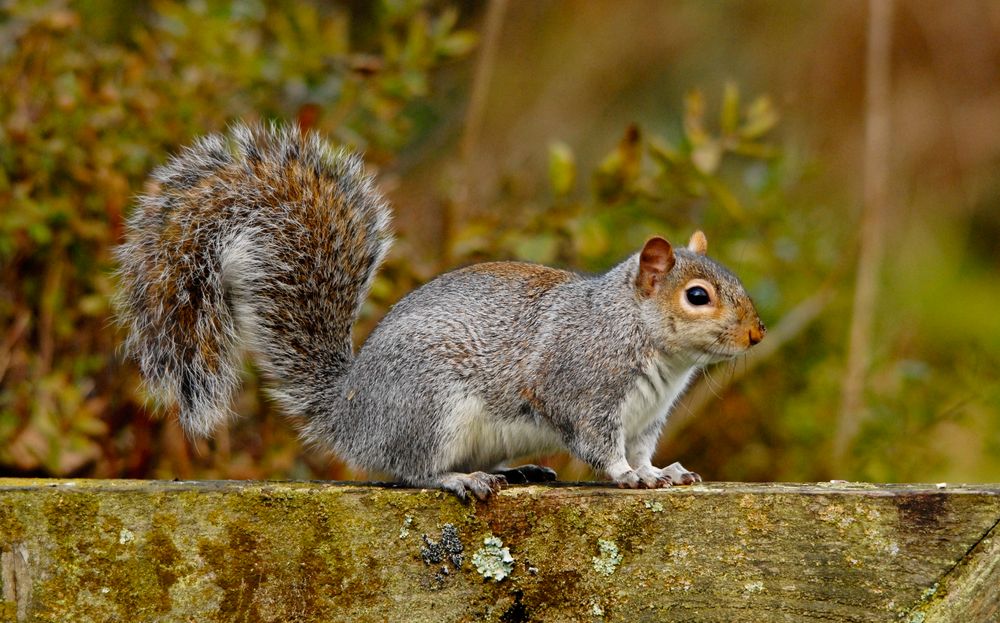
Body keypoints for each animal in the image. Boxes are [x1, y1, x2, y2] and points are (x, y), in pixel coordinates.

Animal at [115, 123, 764, 502]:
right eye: (698, 296)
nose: (757, 335)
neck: (641, 335)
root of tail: (349, 413)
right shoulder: (582, 387)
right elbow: (596, 441)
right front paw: (627, 475)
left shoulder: (647, 418)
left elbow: (643, 448)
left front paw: (658, 474)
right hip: (430, 406)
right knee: (410, 469)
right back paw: (460, 477)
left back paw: (516, 471)